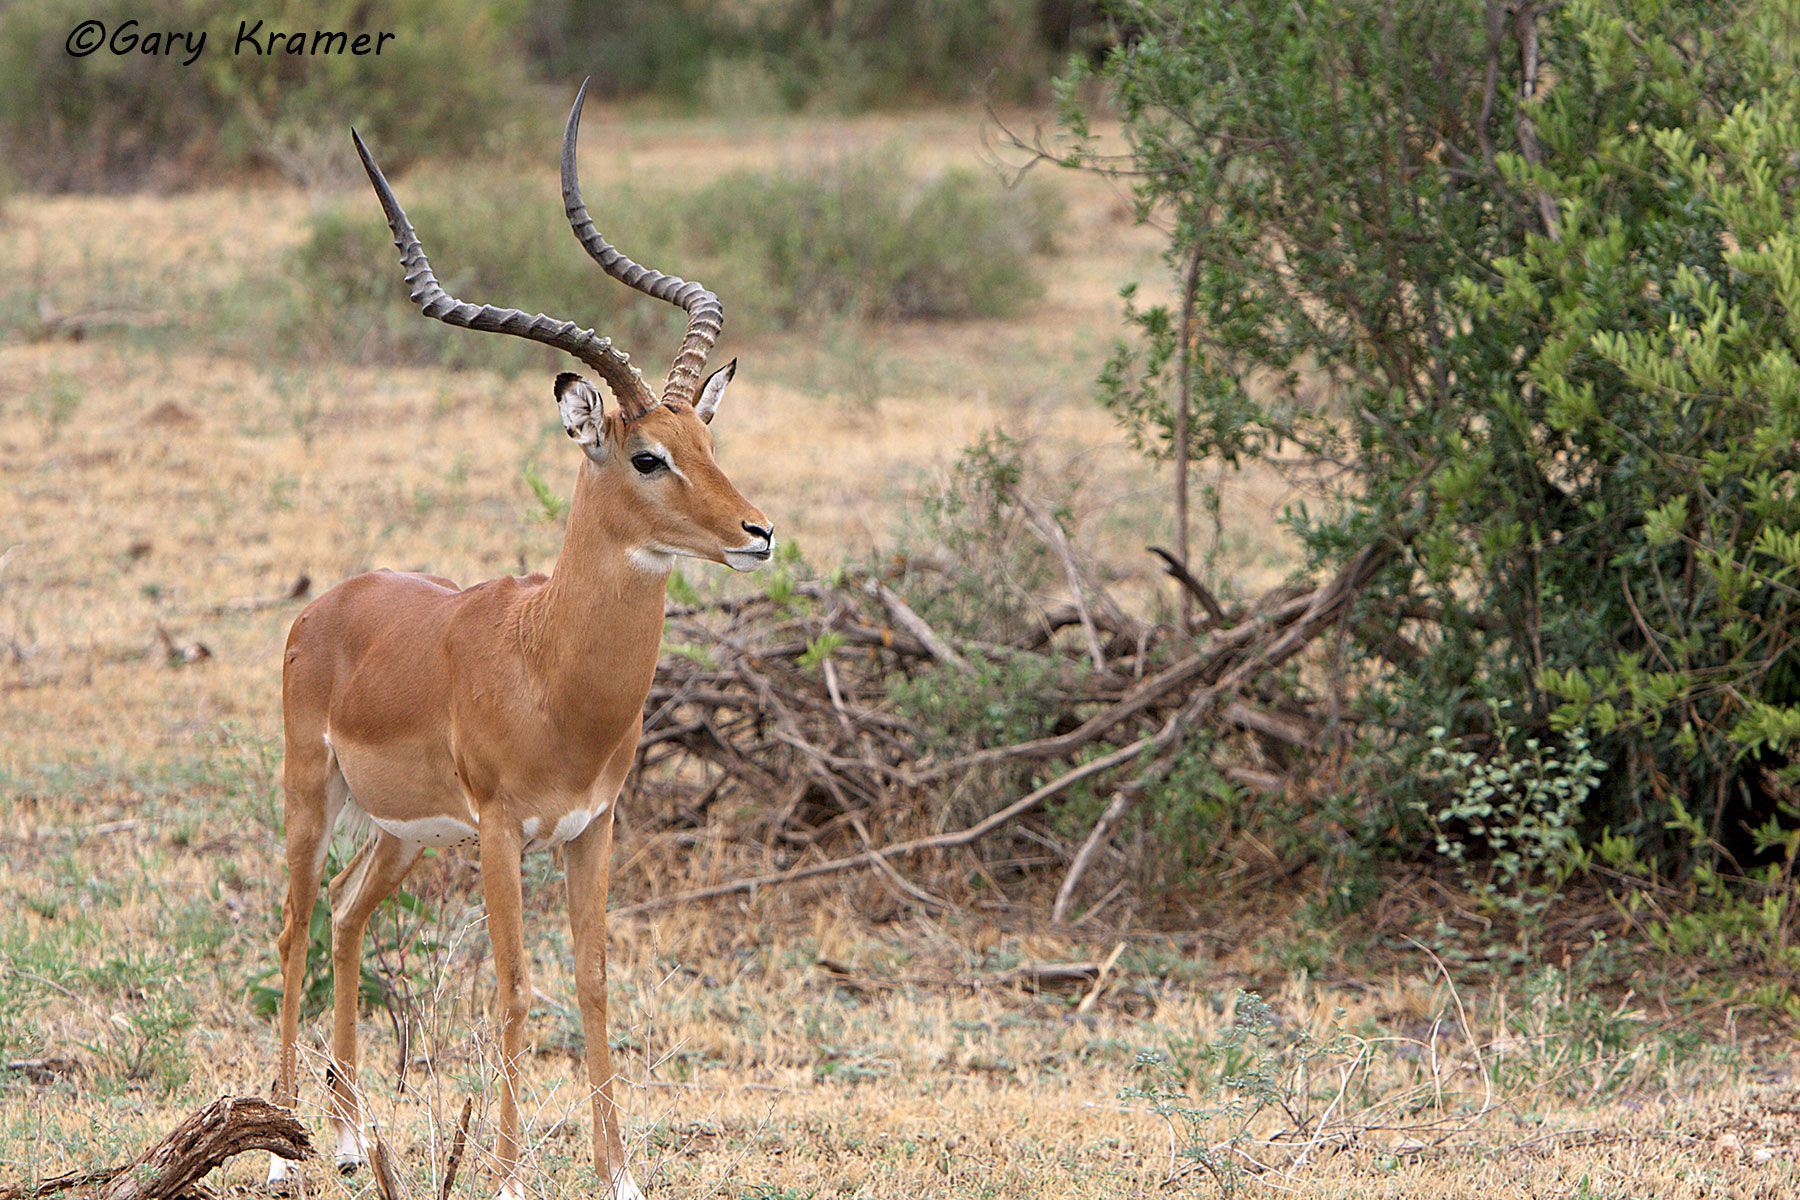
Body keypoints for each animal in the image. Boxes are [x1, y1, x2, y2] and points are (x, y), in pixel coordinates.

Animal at [267, 83, 771, 1200]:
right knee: (292, 926)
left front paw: (621, 1175)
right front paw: (502, 1175)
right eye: (647, 455)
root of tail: (333, 601)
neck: (551, 673)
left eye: (709, 438)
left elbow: (591, 982)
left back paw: (354, 1138)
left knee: (347, 917)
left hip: (405, 833)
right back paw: (278, 1148)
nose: (757, 531)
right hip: (313, 794)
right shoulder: (503, 831)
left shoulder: (593, 826)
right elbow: (511, 984)